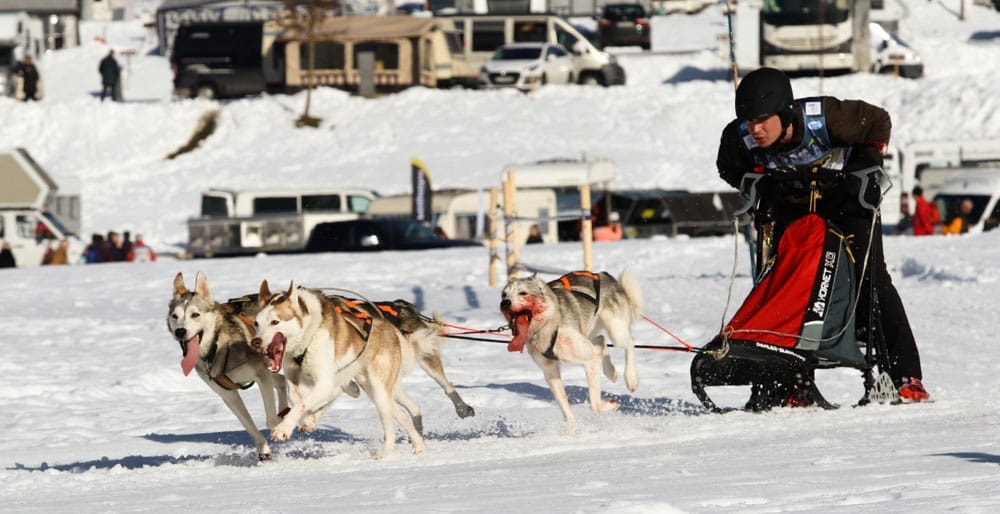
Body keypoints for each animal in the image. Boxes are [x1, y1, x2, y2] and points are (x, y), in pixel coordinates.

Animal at [167, 272, 290, 460]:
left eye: (195, 314)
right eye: (175, 316)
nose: (180, 331)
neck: (217, 348)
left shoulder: (260, 374)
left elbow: (270, 420)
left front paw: (280, 424)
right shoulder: (228, 394)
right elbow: (249, 426)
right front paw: (263, 450)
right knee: (282, 381)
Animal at [250, 280, 426, 456]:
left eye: (275, 322)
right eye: (256, 323)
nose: (255, 341)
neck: (308, 335)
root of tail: (390, 328)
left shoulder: (324, 382)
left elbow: (302, 404)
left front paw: (283, 429)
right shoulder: (294, 376)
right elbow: (295, 398)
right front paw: (307, 420)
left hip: (379, 389)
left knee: (390, 428)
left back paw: (384, 454)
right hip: (371, 388)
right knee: (402, 415)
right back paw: (418, 444)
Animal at [498, 268, 644, 428]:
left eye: (523, 293)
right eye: (504, 294)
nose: (505, 302)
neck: (547, 325)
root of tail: (604, 275)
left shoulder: (589, 359)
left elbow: (594, 405)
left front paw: (611, 404)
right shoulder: (550, 371)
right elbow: (566, 411)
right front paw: (573, 430)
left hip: (615, 332)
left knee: (629, 343)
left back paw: (631, 378)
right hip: (588, 334)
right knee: (600, 342)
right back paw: (611, 372)